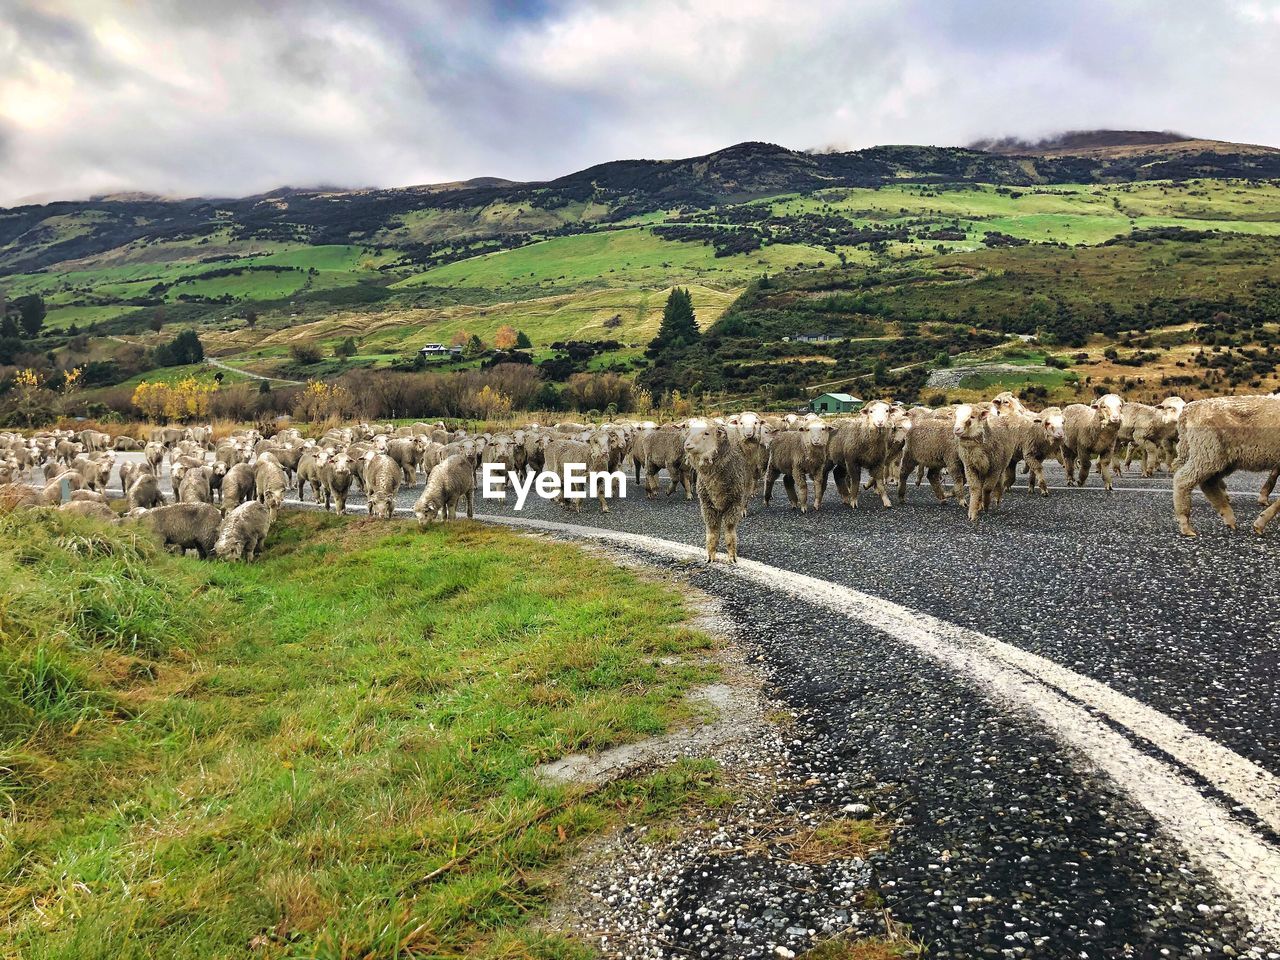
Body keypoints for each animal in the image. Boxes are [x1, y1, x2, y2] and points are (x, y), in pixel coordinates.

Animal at [686, 419, 752, 563]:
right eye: (689, 431)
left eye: (706, 433)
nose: (686, 444)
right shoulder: (707, 505)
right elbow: (712, 531)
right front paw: (710, 556)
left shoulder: (734, 504)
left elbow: (729, 531)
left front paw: (732, 557)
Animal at [1172, 394, 1280, 537]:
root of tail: (1190, 408)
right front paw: (1260, 523)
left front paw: (1261, 521)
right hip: (1208, 450)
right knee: (1183, 480)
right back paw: (1186, 524)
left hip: (1223, 459)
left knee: (1208, 483)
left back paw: (1228, 516)